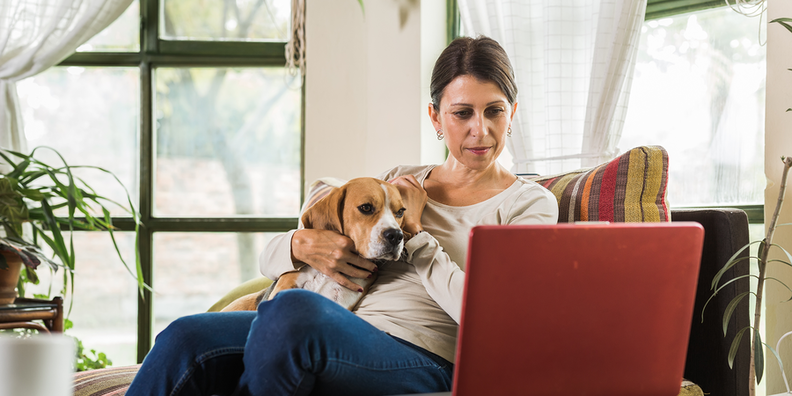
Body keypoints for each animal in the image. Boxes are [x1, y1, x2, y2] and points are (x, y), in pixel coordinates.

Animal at [223, 177, 408, 312]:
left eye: (400, 212)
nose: (396, 236)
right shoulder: (285, 286)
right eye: (366, 207)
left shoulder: (340, 300)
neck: (327, 274)